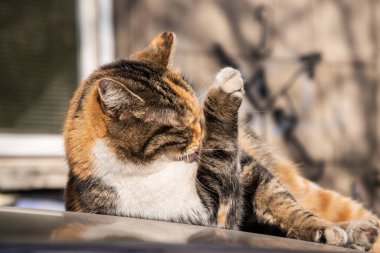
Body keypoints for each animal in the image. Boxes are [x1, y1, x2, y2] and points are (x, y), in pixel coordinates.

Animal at [63, 31, 378, 251]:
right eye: (184, 127)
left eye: (200, 117)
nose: (203, 136)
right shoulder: (206, 211)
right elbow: (223, 179)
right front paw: (224, 92)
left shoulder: (251, 170)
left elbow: (285, 203)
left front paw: (321, 227)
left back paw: (361, 229)